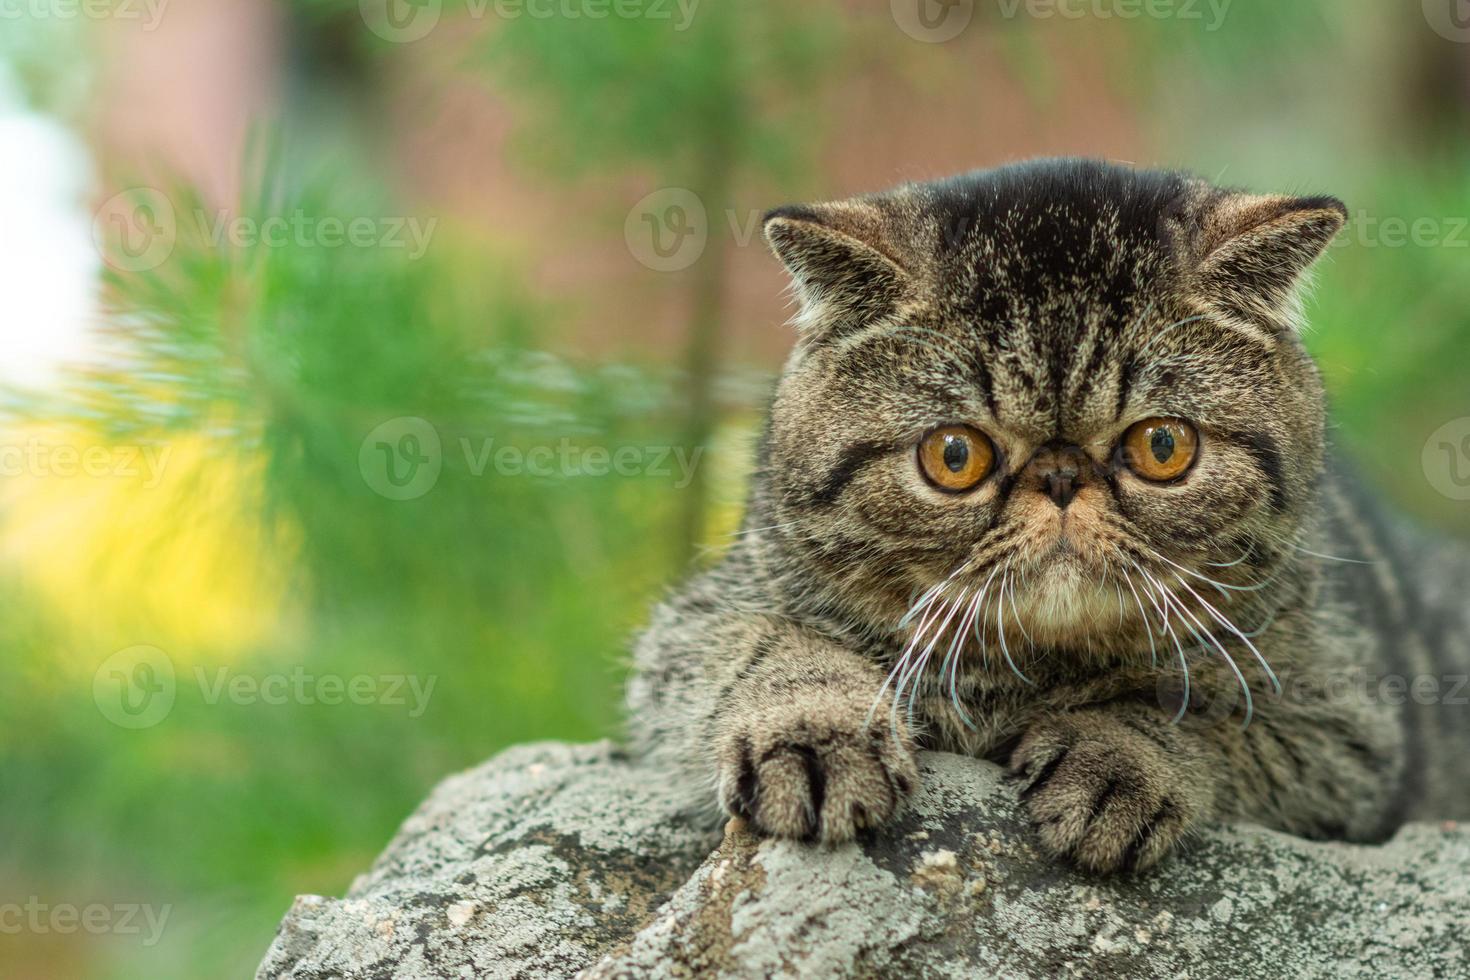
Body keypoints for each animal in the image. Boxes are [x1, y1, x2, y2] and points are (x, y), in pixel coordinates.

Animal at [623, 159, 1470, 875]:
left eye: (1163, 446)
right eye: (954, 455)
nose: (1061, 477)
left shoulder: (1350, 728)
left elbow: (1193, 713)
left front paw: (1119, 757)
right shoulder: (706, 613)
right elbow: (767, 646)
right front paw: (815, 733)